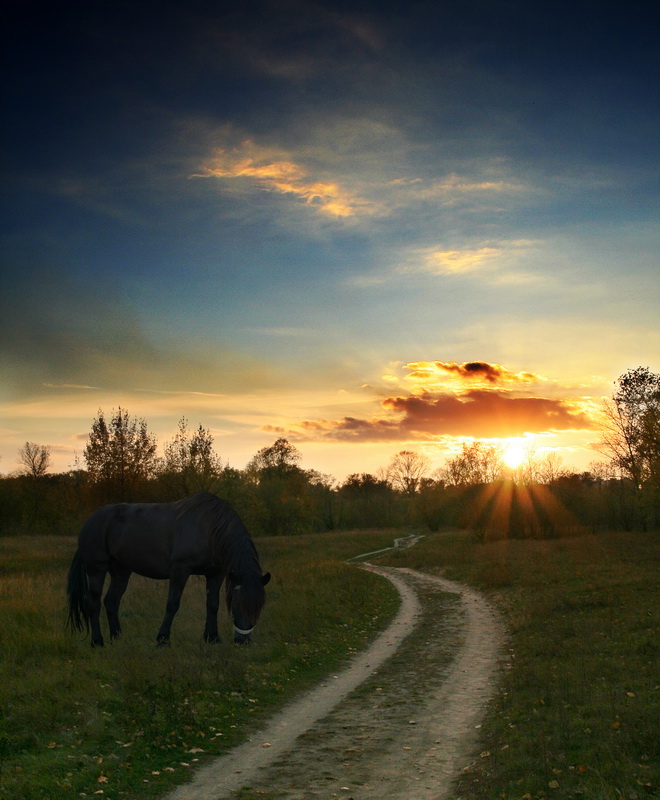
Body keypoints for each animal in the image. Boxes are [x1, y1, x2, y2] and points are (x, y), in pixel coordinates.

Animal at [67, 490, 270, 648]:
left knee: (111, 601)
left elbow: (212, 605)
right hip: (96, 570)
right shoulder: (180, 570)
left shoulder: (216, 574)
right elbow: (172, 604)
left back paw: (117, 637)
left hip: (121, 571)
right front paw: (163, 639)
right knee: (93, 603)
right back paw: (97, 641)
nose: (243, 641)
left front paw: (212, 638)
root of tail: (90, 521)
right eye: (236, 604)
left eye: (259, 606)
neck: (209, 529)